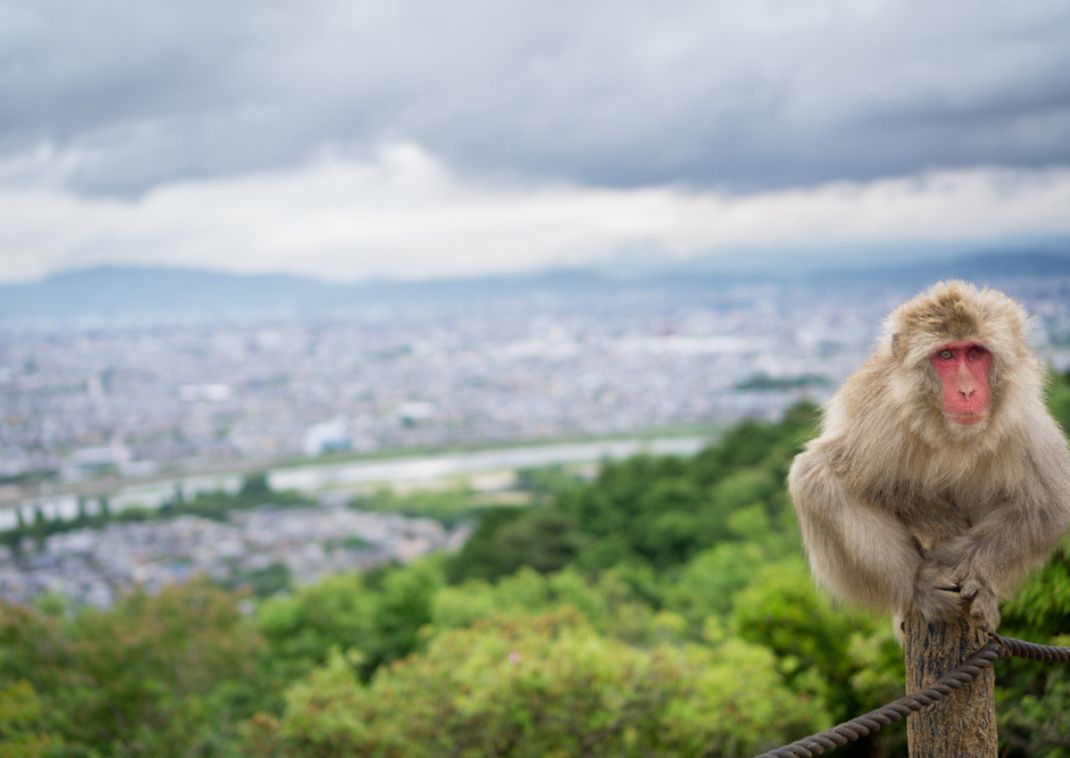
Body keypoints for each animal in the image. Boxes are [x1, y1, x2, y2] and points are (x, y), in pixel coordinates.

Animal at [787, 280, 1070, 629]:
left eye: (975, 353)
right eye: (945, 355)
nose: (967, 391)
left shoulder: (1023, 419)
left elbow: (1049, 505)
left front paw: (966, 568)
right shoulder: (880, 418)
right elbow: (845, 477)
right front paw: (931, 535)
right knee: (814, 478)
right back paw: (919, 583)